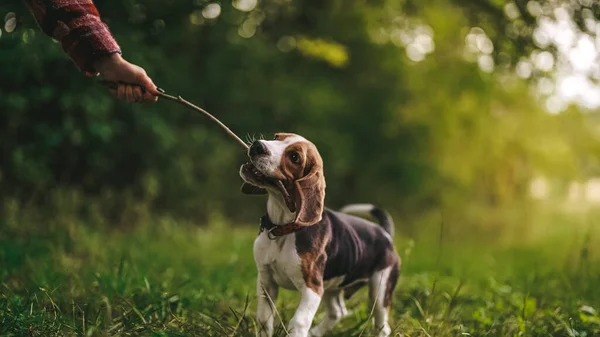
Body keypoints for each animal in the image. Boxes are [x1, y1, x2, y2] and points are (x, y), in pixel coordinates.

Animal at [238, 133, 398, 336]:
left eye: (294, 157)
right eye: (276, 137)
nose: (258, 146)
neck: (283, 228)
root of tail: (385, 233)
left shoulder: (312, 288)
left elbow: (298, 322)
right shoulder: (266, 281)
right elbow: (264, 319)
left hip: (380, 288)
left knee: (382, 325)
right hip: (332, 285)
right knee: (338, 312)